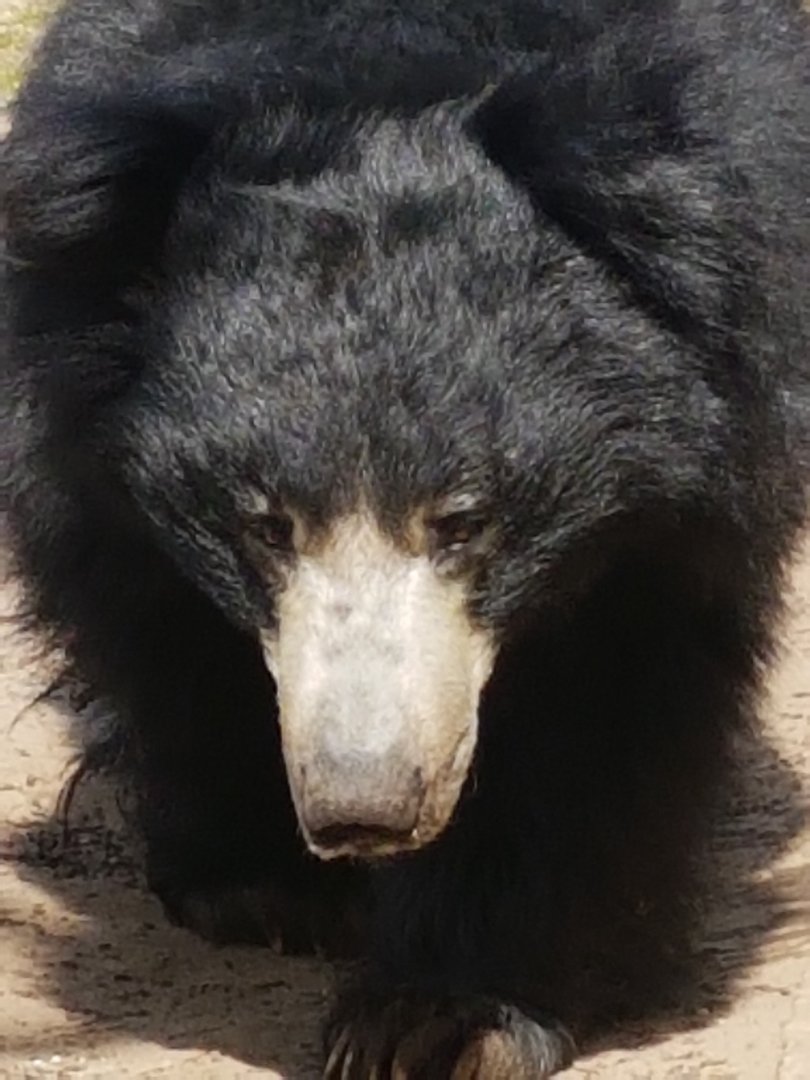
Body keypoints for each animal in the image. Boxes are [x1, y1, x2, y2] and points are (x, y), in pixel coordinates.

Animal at [3, 0, 810, 1075]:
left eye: (463, 519)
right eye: (264, 524)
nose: (364, 812)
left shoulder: (692, 460)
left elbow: (603, 698)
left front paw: (443, 1016)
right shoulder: (77, 417)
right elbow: (146, 608)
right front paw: (265, 889)